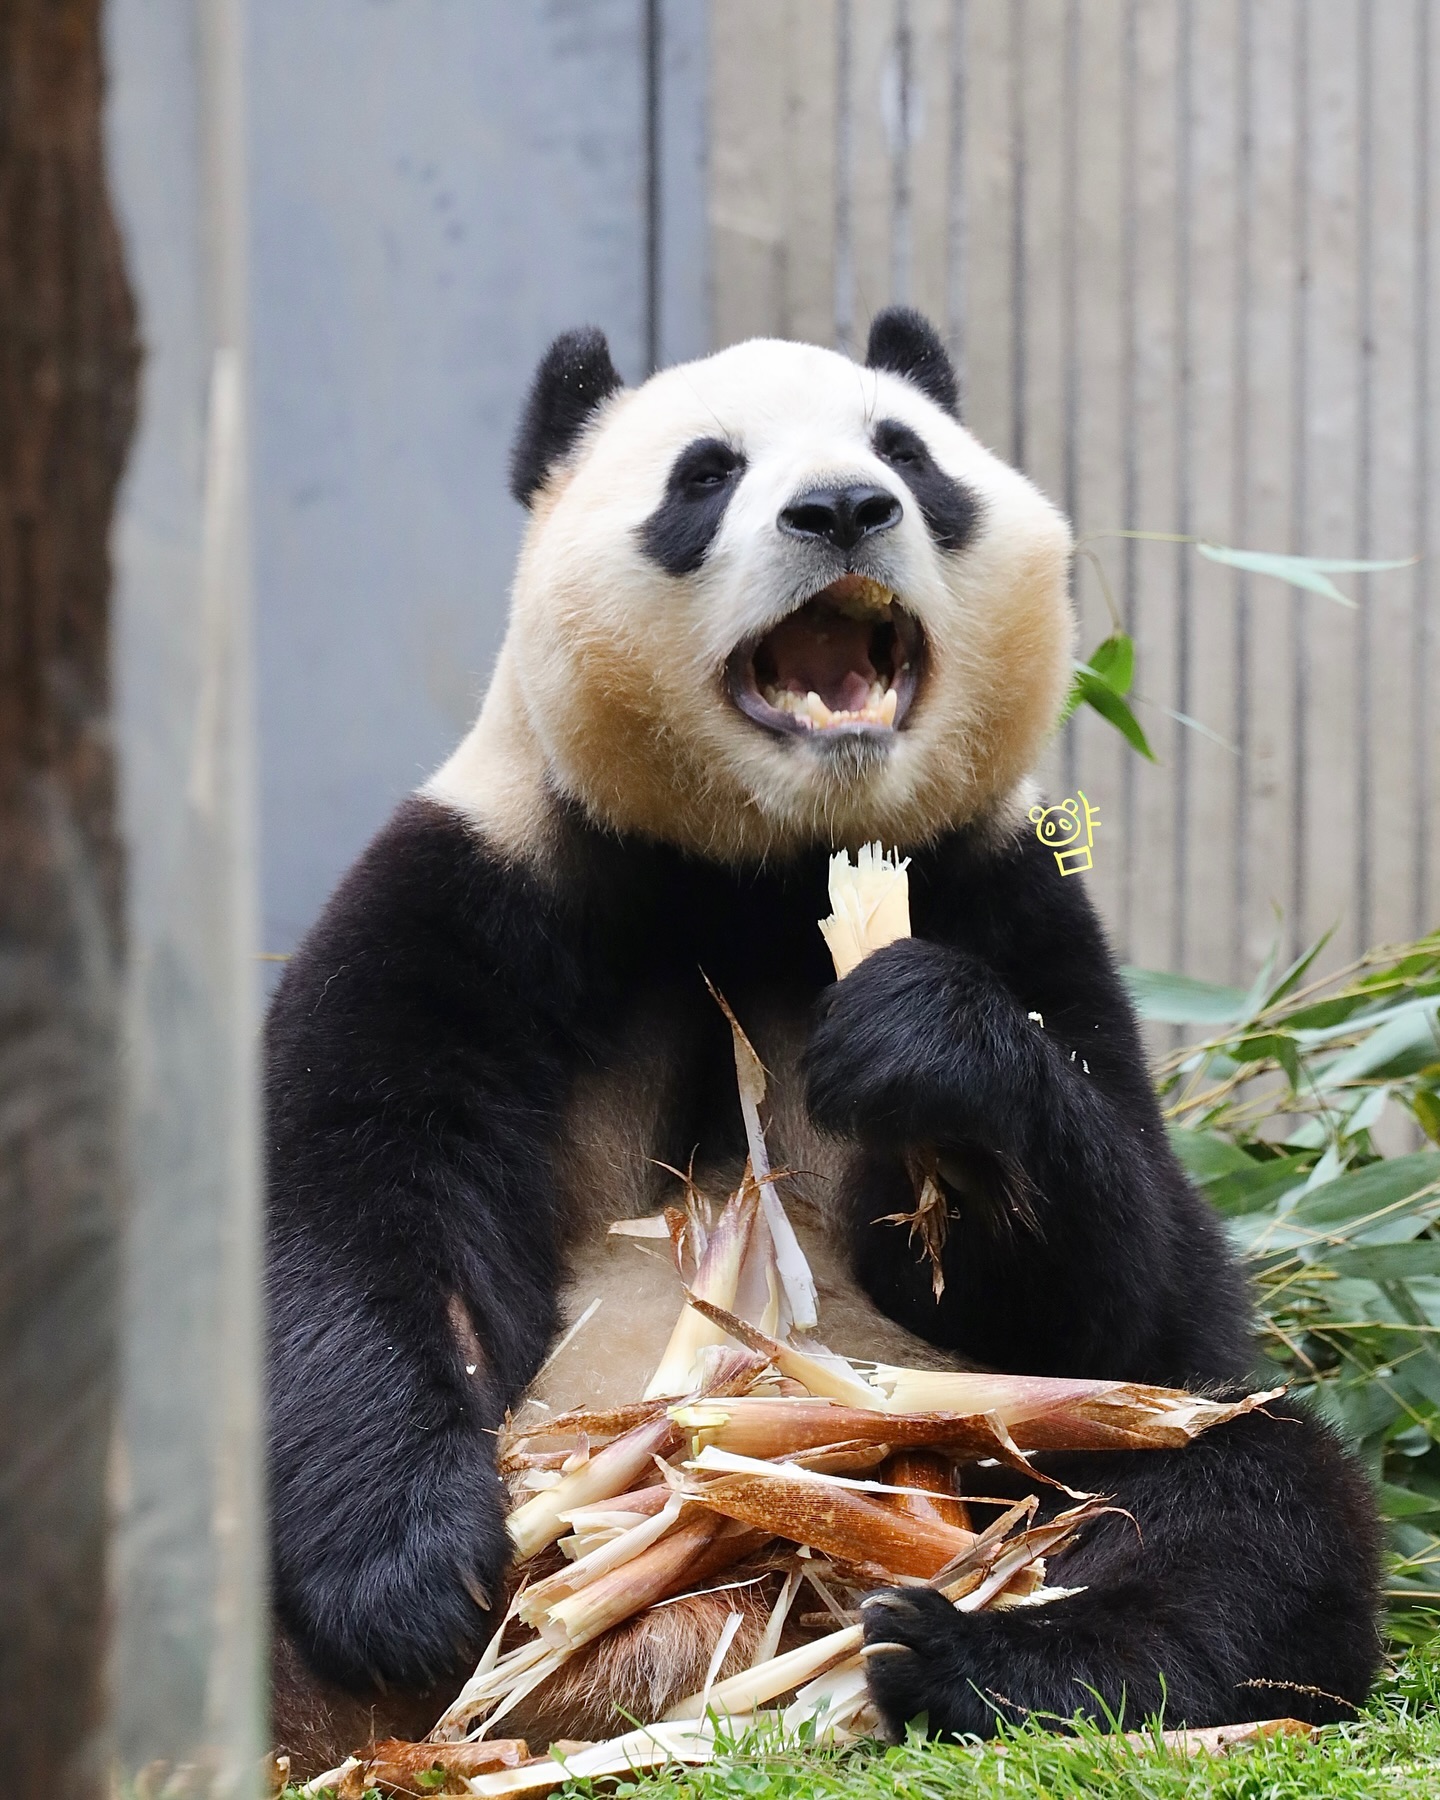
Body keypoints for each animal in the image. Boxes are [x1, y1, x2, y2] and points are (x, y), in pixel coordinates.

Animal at [264, 309, 1375, 1756]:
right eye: (705, 475)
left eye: (907, 454)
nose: (845, 507)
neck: (759, 870)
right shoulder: (481, 889)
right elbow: (356, 1200)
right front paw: (412, 1570)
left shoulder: (1011, 901)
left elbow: (1124, 1294)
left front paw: (922, 1049)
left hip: (1003, 1454)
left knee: (1237, 1493)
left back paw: (975, 1658)